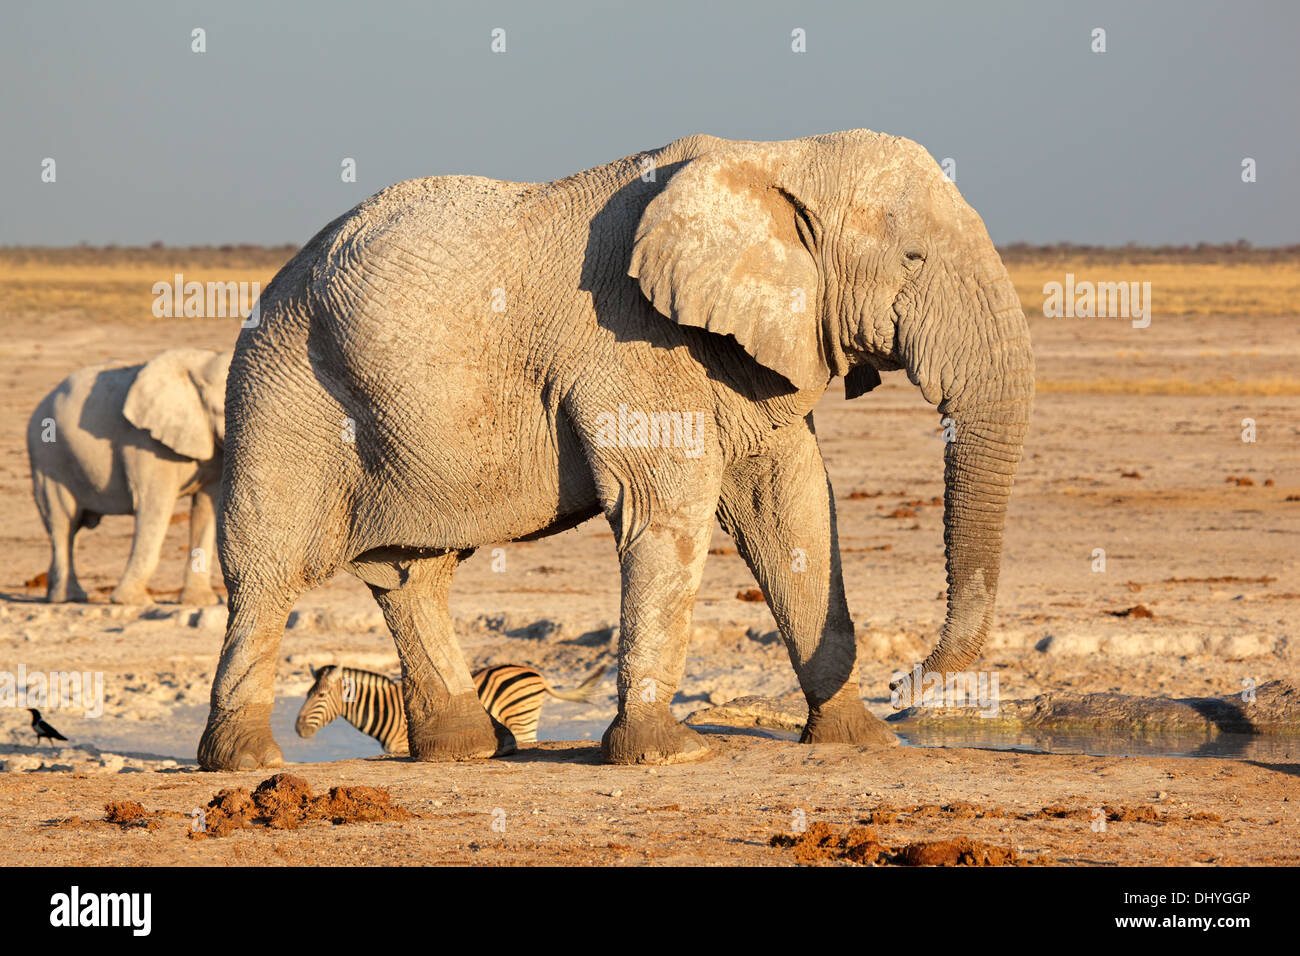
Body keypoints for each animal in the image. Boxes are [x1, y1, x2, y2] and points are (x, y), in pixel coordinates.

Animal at [26, 348, 232, 606]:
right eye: (224, 409)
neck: (200, 364)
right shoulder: (144, 441)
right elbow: (155, 506)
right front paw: (133, 601)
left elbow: (206, 508)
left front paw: (201, 602)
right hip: (48, 456)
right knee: (63, 522)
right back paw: (68, 598)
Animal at [292, 660, 605, 749]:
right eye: (307, 693)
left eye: (320, 696)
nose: (297, 729)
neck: (387, 710)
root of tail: (536, 673)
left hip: (521, 718)